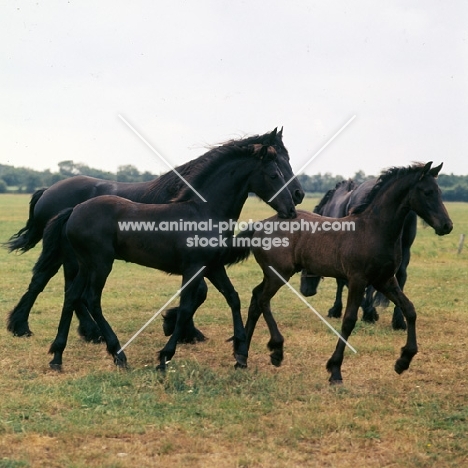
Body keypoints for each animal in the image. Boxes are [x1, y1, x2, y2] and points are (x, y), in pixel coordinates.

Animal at [8, 129, 308, 344]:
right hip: (76, 256)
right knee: (46, 282)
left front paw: (183, 329)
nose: (297, 197)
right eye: (278, 167)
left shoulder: (209, 265)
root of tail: (50, 191)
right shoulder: (195, 265)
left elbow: (218, 295)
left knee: (69, 290)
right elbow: (196, 296)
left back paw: (83, 333)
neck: (201, 207)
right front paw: (179, 328)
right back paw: (26, 327)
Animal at [300, 177, 416, 330]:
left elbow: (342, 282)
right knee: (402, 276)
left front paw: (337, 310)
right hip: (404, 249)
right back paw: (398, 320)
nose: (305, 291)